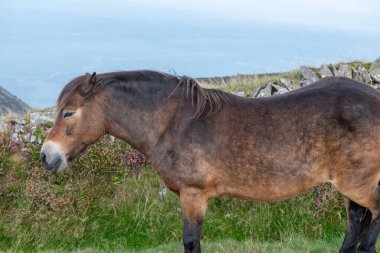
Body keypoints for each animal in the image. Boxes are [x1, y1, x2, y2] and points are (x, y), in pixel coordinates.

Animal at [40, 71, 380, 253]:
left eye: (68, 113)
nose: (46, 156)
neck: (174, 123)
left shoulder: (194, 194)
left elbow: (191, 242)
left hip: (358, 182)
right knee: (355, 222)